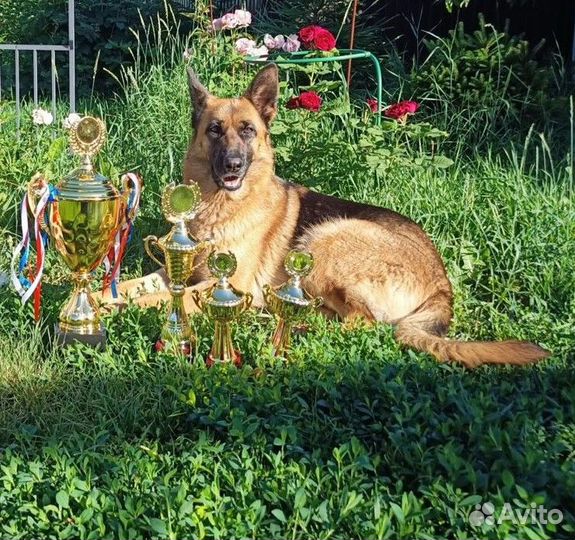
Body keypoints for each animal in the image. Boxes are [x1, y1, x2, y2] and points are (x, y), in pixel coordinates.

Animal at [97, 63, 552, 368]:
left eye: (247, 131)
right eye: (214, 130)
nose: (232, 166)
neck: (219, 207)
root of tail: (443, 284)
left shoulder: (226, 285)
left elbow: (153, 300)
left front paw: (108, 312)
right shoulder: (176, 270)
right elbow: (132, 288)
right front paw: (94, 299)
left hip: (326, 239)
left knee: (363, 323)